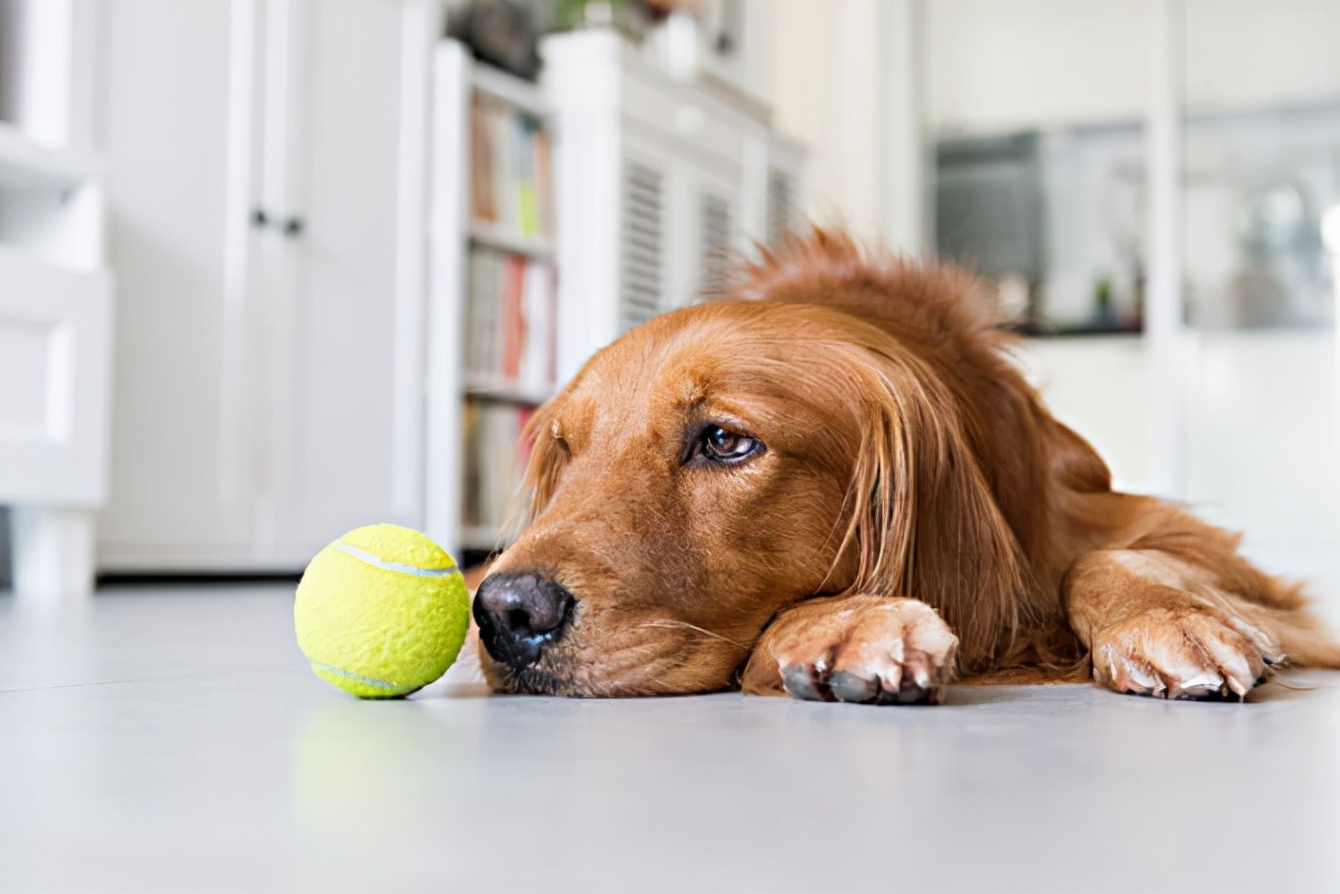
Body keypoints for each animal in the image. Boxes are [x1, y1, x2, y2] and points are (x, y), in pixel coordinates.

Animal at [471, 227, 1340, 702]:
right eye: (565, 451)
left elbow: (1108, 557)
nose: (504, 613)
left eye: (723, 441)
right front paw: (842, 621)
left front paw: (1161, 617)